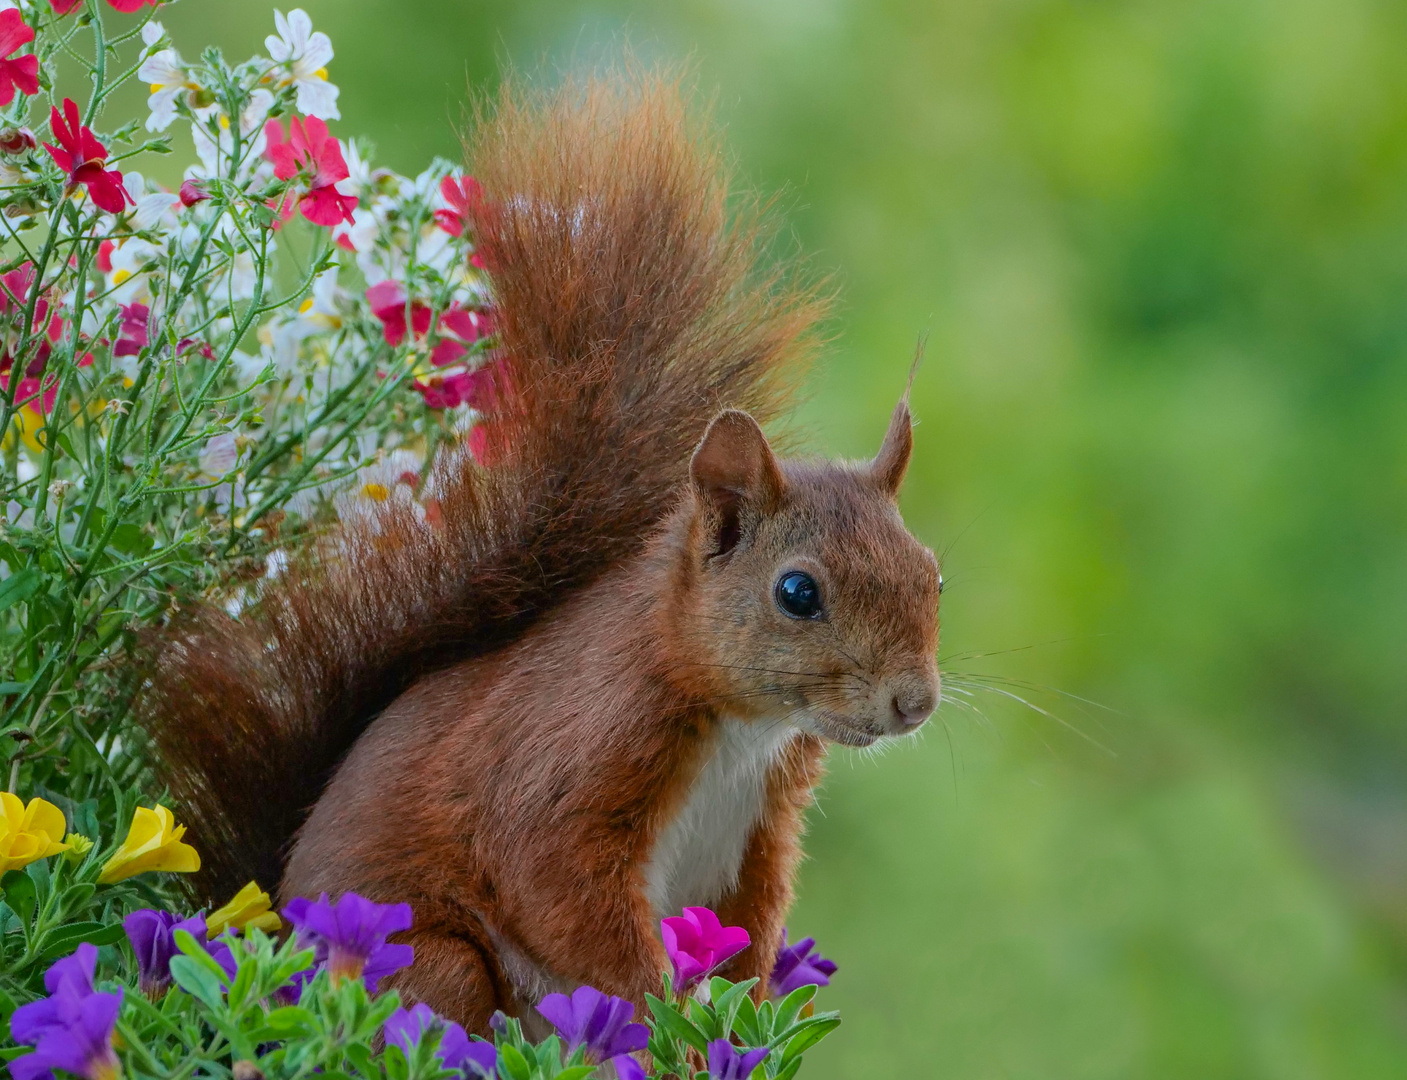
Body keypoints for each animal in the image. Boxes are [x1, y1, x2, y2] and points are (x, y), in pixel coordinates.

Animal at [142, 71, 939, 1035]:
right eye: (796, 593)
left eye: (933, 576)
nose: (913, 704)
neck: (743, 727)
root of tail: (268, 931)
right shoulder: (569, 757)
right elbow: (554, 886)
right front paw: (663, 1026)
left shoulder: (763, 827)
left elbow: (750, 929)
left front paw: (739, 1022)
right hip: (431, 966)